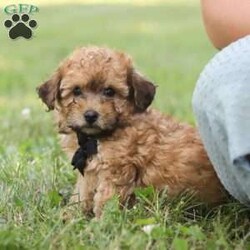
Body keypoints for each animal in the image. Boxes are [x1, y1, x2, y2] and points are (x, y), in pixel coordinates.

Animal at [37, 46, 227, 217]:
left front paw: (100, 224)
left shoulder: (116, 172)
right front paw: (69, 216)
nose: (90, 115)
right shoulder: (89, 174)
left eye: (109, 91)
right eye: (76, 90)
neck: (95, 139)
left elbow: (106, 201)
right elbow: (81, 195)